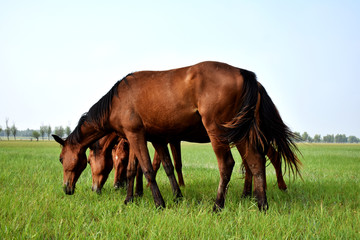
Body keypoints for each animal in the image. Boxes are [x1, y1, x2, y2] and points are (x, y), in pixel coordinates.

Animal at [52, 61, 300, 211]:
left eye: (62, 159)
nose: (66, 188)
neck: (117, 100)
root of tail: (245, 74)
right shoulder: (152, 138)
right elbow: (154, 168)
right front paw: (133, 199)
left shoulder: (136, 136)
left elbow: (147, 169)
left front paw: (159, 203)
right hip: (241, 135)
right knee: (255, 162)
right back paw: (261, 204)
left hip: (219, 133)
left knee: (228, 165)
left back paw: (218, 205)